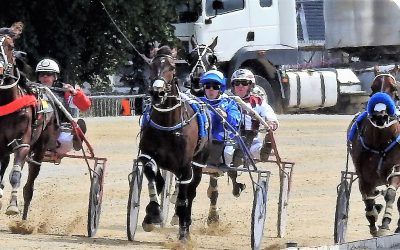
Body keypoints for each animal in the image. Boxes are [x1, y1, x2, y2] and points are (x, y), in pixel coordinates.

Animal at [0, 34, 58, 219]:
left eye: (10, 46)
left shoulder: (22, 143)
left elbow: (15, 175)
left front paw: (12, 206)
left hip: (40, 148)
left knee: (30, 183)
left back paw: (24, 217)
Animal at [138, 45, 208, 240]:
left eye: (172, 67)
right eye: (151, 66)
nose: (157, 92)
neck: (167, 124)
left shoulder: (185, 166)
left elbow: (184, 198)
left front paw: (183, 232)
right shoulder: (147, 155)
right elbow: (154, 178)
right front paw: (152, 214)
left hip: (198, 164)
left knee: (190, 192)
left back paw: (184, 224)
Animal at [346, 73, 400, 236]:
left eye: (393, 87)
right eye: (373, 87)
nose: (380, 116)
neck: (380, 142)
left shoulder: (397, 168)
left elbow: (390, 194)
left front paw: (385, 224)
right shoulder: (363, 177)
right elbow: (368, 200)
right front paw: (373, 221)